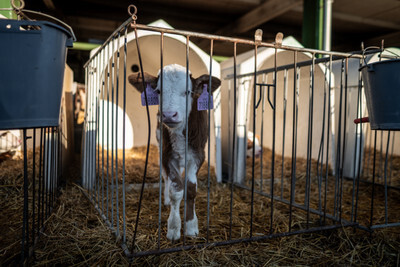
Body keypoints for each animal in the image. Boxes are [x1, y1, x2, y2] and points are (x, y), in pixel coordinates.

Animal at [129, 65, 220, 243]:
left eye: (188, 91)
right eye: (158, 91)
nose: (169, 115)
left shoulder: (199, 155)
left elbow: (190, 189)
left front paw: (191, 227)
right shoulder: (167, 154)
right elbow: (176, 190)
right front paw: (173, 228)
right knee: (166, 178)